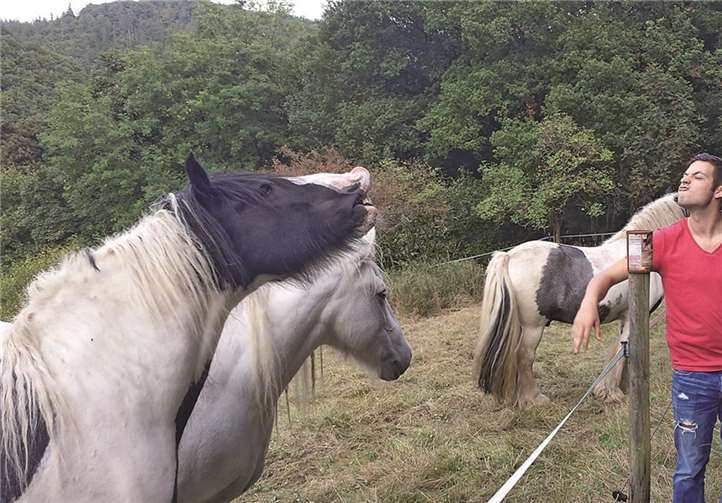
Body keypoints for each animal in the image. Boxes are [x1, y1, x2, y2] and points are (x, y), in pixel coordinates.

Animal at [473, 193, 684, 408]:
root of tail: (509, 255)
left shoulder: (624, 317)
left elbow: (620, 350)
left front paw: (613, 389)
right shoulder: (633, 316)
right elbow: (623, 351)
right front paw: (613, 393)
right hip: (533, 326)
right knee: (524, 356)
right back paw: (534, 399)